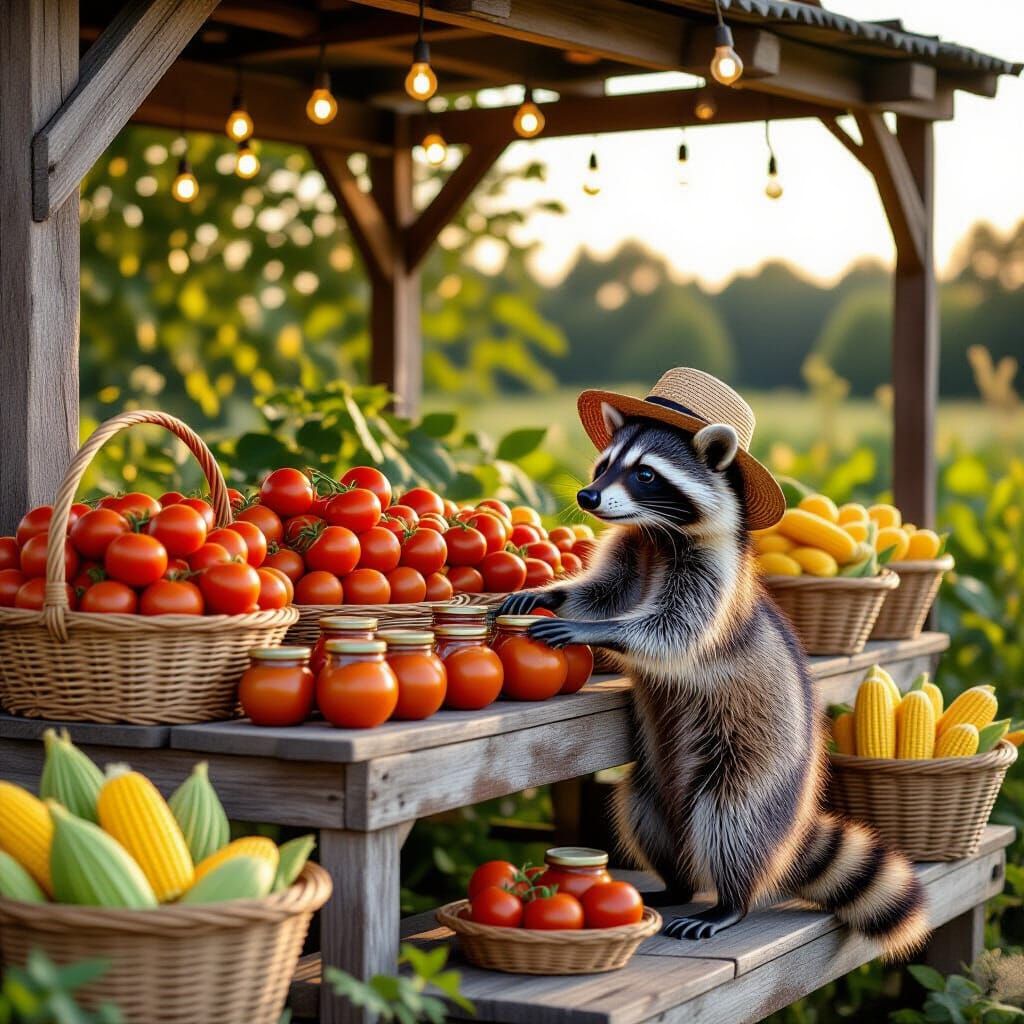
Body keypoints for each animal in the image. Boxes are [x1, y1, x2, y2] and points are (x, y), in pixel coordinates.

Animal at [500, 406, 929, 959]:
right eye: (604, 464)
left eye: (645, 474)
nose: (587, 496)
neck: (655, 535)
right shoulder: (630, 553)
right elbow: (600, 593)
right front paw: (553, 594)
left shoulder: (713, 575)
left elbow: (674, 632)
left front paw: (599, 630)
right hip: (654, 788)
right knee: (641, 813)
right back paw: (675, 883)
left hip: (756, 767)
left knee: (731, 824)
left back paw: (731, 900)